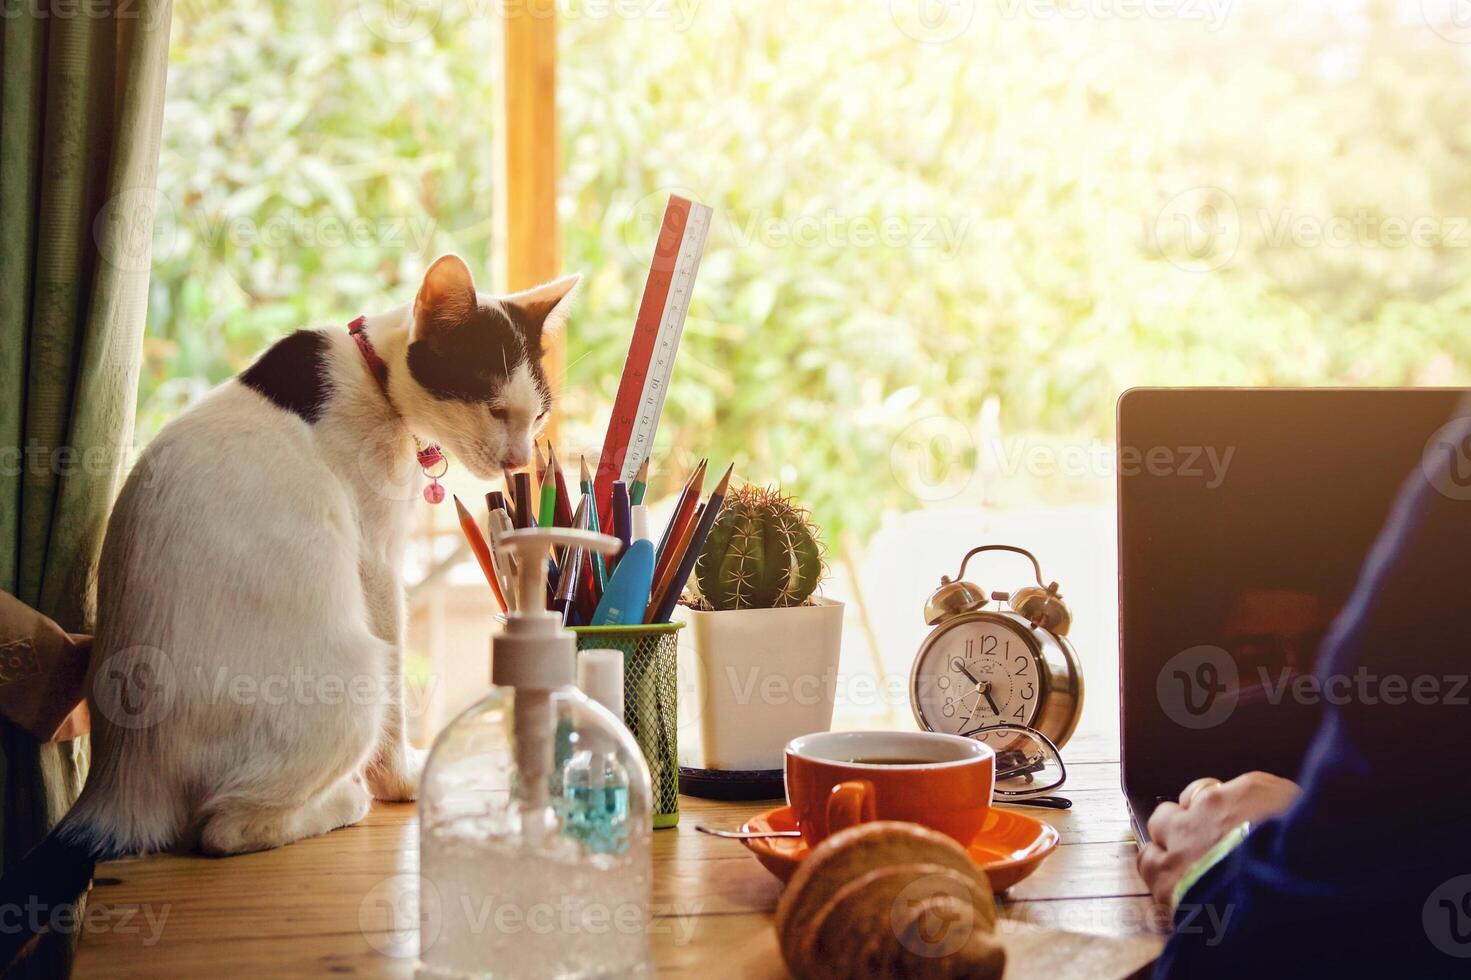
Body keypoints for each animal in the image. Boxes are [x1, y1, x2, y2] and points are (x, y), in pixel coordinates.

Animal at [0, 253, 573, 959]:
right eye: (495, 408)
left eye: (537, 417)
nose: (520, 462)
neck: (370, 375)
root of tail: (116, 785)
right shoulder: (377, 562)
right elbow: (397, 699)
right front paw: (401, 781)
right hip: (353, 678)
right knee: (221, 828)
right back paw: (342, 804)